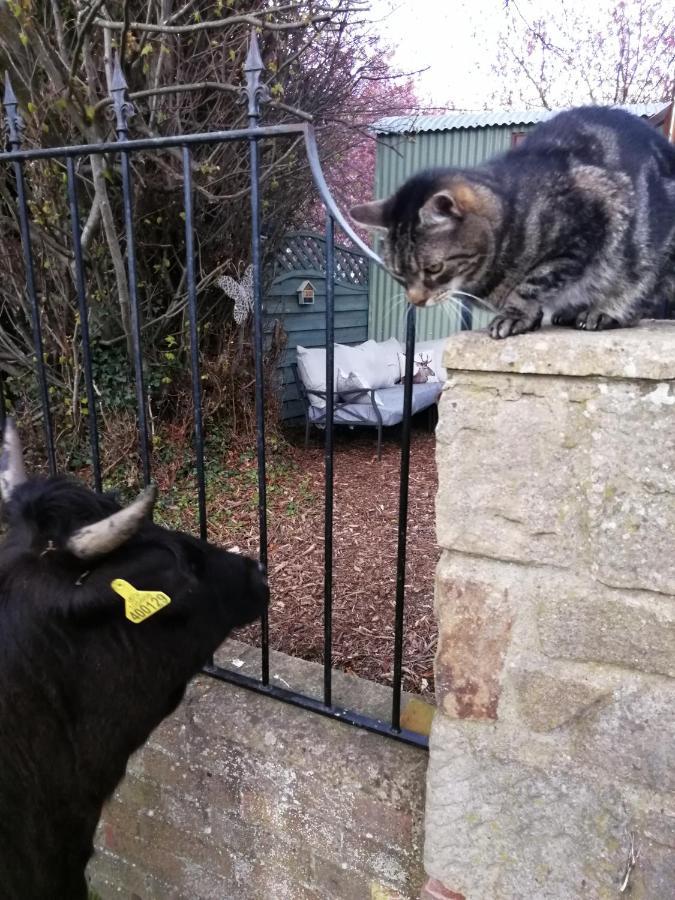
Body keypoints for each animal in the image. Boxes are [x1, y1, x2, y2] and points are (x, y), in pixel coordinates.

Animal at [352, 107, 675, 340]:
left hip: (648, 256)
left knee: (639, 292)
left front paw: (515, 313)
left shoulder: (587, 226)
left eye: (434, 268)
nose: (416, 301)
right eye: (397, 273)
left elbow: (533, 282)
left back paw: (605, 312)